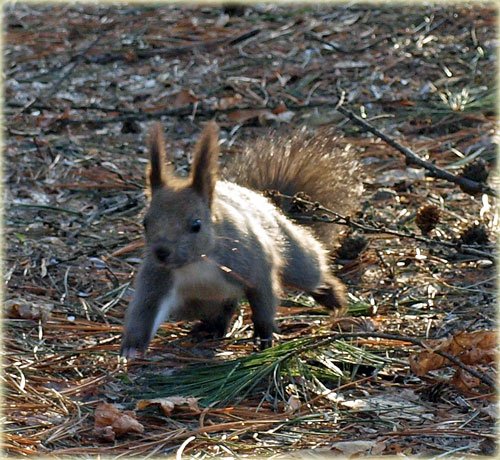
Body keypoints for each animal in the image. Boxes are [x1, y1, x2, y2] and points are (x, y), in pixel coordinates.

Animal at [121, 120, 364, 358]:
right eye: (145, 223)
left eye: (196, 225)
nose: (161, 252)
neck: (197, 263)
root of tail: (265, 201)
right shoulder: (157, 277)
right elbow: (145, 310)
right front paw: (131, 347)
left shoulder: (253, 263)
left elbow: (263, 297)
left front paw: (264, 336)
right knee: (223, 307)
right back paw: (210, 328)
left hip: (293, 254)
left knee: (311, 273)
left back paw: (333, 297)